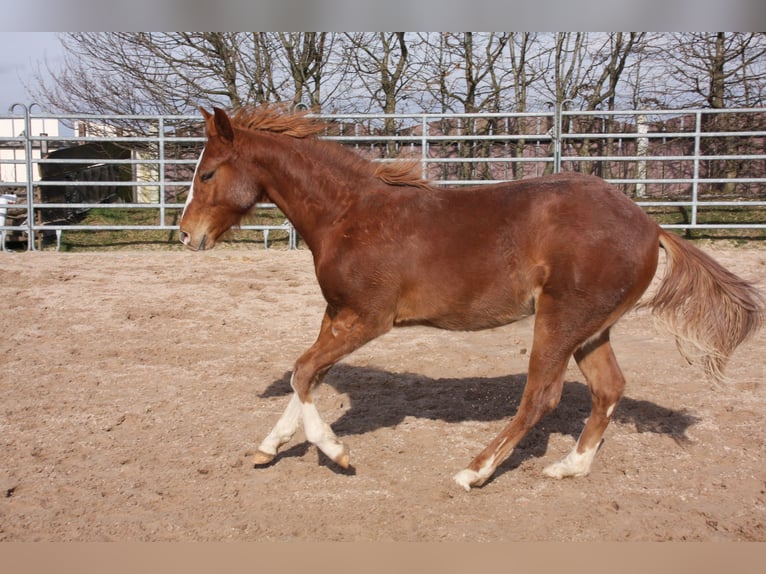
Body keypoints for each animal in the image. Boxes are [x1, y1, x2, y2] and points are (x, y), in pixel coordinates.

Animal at [178, 106, 760, 492]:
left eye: (206, 173)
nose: (186, 235)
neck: (348, 214)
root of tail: (651, 225)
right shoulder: (336, 313)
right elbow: (307, 374)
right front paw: (268, 447)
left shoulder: (368, 317)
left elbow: (303, 371)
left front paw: (337, 453)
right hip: (592, 329)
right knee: (608, 389)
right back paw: (569, 467)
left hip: (561, 320)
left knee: (540, 397)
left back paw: (473, 471)